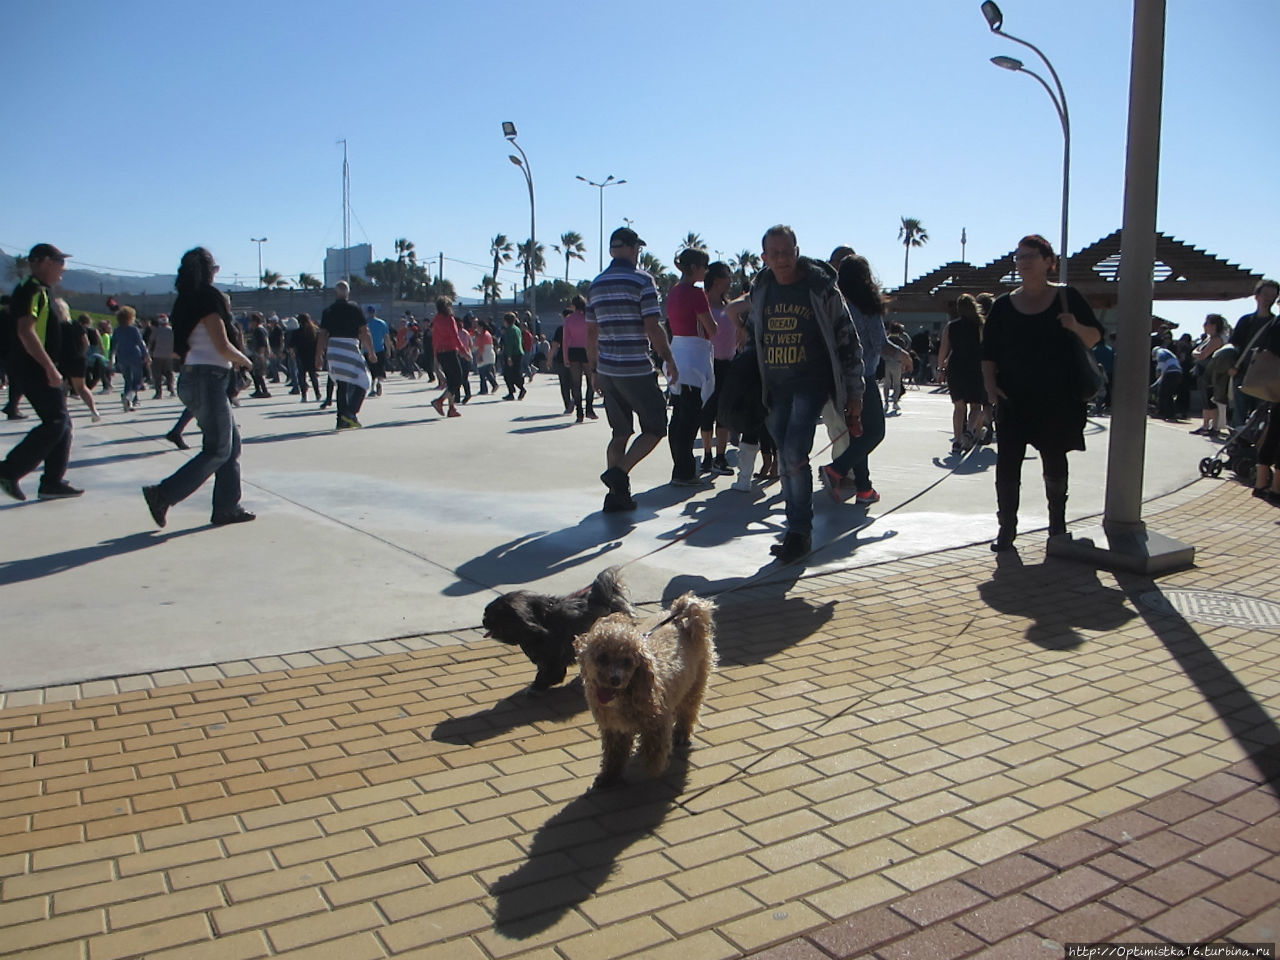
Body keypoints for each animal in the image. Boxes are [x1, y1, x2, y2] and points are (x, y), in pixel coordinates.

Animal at [481, 568, 632, 696]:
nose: (483, 621)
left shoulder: (552, 657)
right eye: (486, 613)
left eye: (493, 617)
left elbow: (550, 673)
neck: (540, 620)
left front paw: (537, 686)